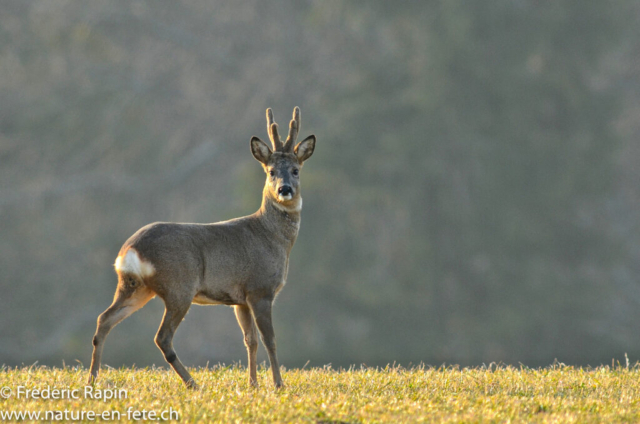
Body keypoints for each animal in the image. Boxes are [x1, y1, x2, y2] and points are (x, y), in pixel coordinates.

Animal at [87, 106, 318, 388]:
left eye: (296, 170)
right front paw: (278, 385)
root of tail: (129, 252)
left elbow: (250, 340)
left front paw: (252, 384)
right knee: (162, 337)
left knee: (104, 320)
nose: (284, 190)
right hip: (179, 287)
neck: (272, 237)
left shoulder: (239, 298)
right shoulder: (260, 289)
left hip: (135, 286)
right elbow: (269, 340)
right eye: (271, 171)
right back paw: (193, 383)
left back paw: (92, 380)